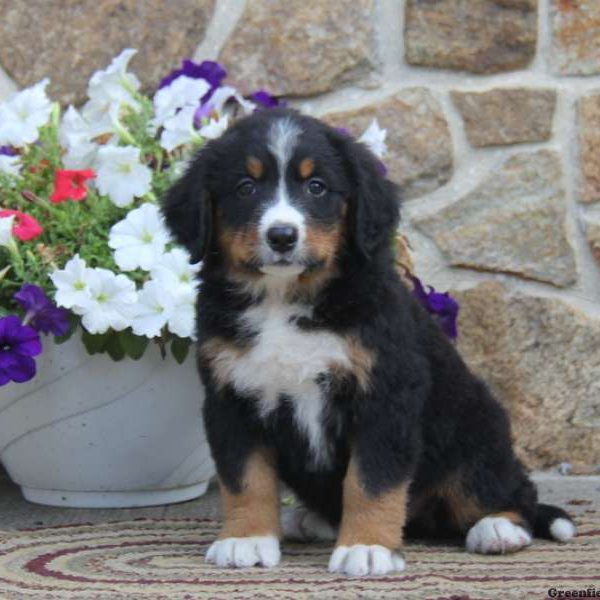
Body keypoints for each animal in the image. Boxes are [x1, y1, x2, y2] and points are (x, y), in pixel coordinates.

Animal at [162, 106, 576, 576]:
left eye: (317, 186)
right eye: (245, 187)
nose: (282, 236)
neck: (284, 300)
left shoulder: (384, 394)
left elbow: (371, 480)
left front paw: (367, 547)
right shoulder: (231, 397)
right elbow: (245, 478)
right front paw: (246, 538)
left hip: (474, 431)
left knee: (509, 492)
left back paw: (497, 529)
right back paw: (309, 520)